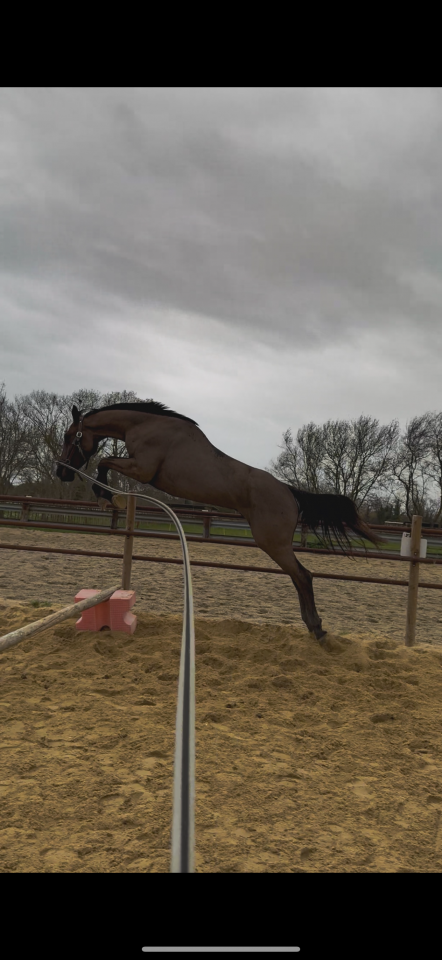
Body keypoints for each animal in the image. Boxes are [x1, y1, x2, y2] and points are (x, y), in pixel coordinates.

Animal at [56, 401, 384, 643]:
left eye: (69, 436)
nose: (62, 473)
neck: (147, 426)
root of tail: (290, 493)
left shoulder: (142, 469)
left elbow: (103, 462)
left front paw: (105, 496)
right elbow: (105, 462)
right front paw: (107, 496)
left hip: (272, 543)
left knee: (303, 576)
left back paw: (317, 628)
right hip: (277, 546)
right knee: (298, 577)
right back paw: (311, 625)